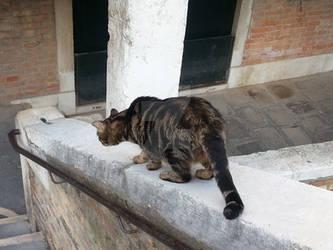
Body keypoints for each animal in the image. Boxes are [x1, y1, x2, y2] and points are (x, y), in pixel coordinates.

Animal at [92, 96, 243, 220]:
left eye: (99, 137)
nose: (99, 141)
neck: (126, 120)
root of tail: (206, 119)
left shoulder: (147, 142)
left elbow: (150, 156)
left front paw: (148, 163)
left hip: (173, 150)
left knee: (185, 175)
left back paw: (167, 174)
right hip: (206, 152)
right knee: (211, 170)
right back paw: (203, 173)